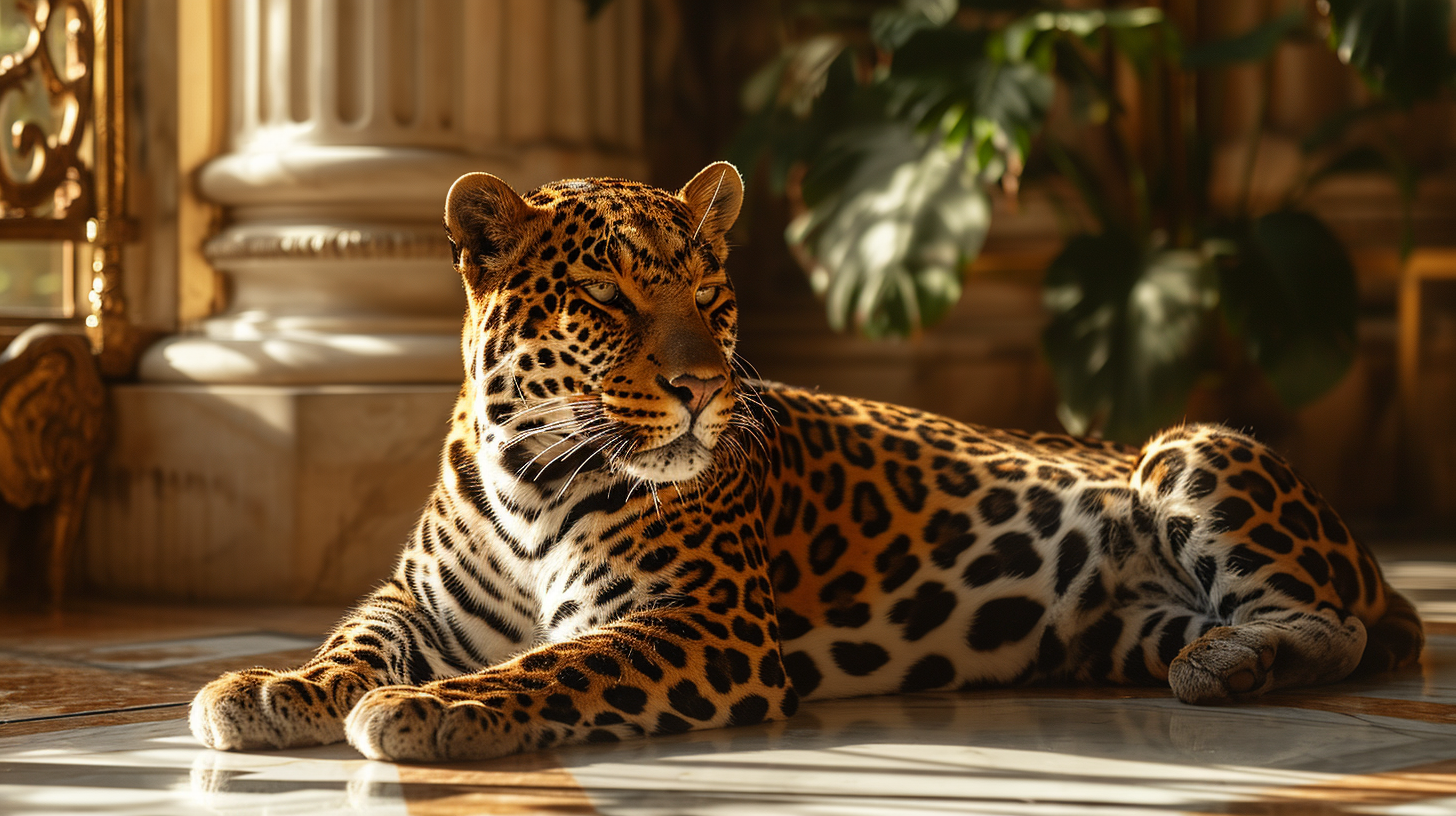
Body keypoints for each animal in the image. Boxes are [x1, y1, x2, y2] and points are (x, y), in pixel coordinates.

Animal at [190, 161, 1421, 763]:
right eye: (607, 299)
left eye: (710, 293)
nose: (702, 387)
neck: (530, 475)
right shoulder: (418, 599)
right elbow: (355, 640)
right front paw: (273, 687)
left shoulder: (704, 624)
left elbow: (554, 664)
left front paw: (432, 708)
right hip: (1111, 626)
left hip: (1191, 445)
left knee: (1339, 625)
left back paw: (1234, 663)